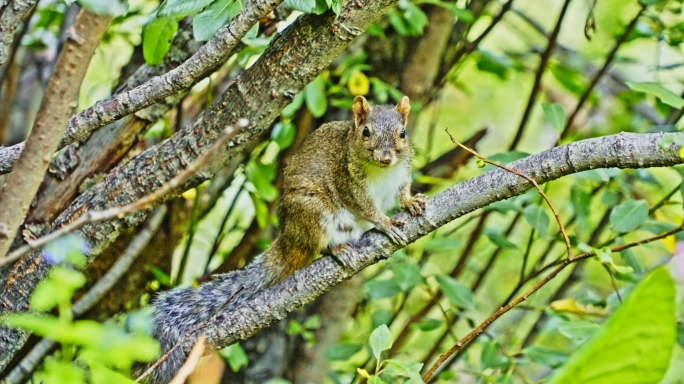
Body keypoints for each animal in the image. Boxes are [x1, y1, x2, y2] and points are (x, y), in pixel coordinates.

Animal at [142, 95, 424, 380]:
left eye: (402, 133)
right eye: (366, 131)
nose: (386, 157)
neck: (382, 171)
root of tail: (289, 237)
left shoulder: (402, 173)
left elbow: (402, 192)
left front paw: (411, 202)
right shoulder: (349, 184)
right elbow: (367, 209)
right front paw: (386, 223)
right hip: (314, 213)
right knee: (317, 244)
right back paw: (336, 250)